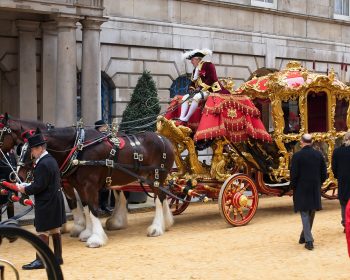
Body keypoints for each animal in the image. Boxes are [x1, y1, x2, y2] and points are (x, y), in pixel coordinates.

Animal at [0, 114, 175, 247]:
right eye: (20, 150)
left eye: (30, 151)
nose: (18, 176)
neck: (78, 148)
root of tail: (164, 138)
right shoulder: (77, 185)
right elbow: (84, 207)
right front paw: (85, 231)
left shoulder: (87, 185)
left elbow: (91, 207)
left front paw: (95, 237)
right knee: (156, 196)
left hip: (156, 177)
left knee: (159, 199)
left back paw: (156, 227)